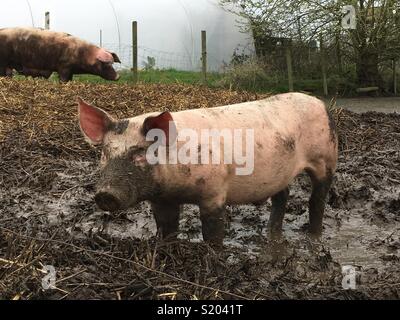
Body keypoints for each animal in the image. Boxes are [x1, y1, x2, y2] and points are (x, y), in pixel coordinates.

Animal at [77, 92, 338, 248]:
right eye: (105, 153)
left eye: (140, 153)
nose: (105, 194)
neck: (174, 188)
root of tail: (320, 102)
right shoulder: (162, 200)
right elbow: (166, 227)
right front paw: (166, 248)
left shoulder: (214, 192)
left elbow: (212, 231)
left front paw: (214, 254)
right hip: (279, 171)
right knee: (282, 196)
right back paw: (272, 234)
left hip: (326, 157)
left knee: (317, 199)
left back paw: (314, 237)